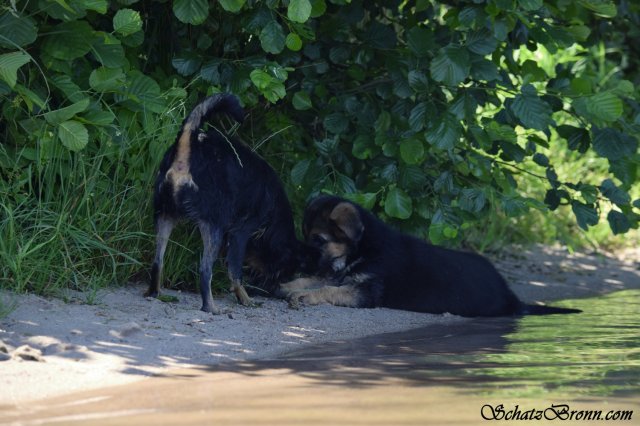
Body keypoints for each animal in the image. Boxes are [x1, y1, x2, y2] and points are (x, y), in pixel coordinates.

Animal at [146, 94, 316, 312]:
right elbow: (235, 273)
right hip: (213, 226)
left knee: (157, 262)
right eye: (283, 270)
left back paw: (155, 293)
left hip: (164, 216)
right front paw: (246, 299)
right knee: (205, 270)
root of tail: (188, 144)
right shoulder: (240, 232)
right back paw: (210, 307)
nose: (273, 289)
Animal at [282, 195, 584, 318]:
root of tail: (512, 298)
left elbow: (328, 289)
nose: (298, 261)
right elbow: (318, 280)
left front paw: (304, 295)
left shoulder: (366, 291)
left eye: (318, 239)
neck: (364, 246)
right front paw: (289, 285)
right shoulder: (338, 273)